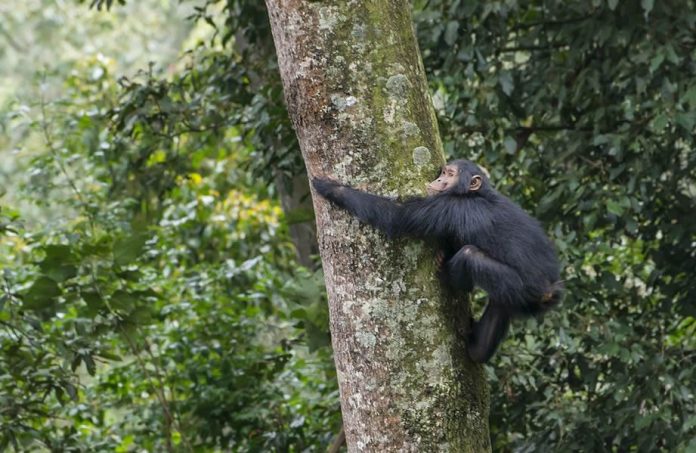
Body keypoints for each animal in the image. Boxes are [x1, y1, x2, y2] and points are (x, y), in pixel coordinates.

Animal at [312, 157, 564, 362]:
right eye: (444, 171)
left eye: (450, 174)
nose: (440, 178)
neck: (475, 193)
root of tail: (550, 291)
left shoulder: (447, 206)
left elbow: (397, 216)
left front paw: (331, 188)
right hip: (514, 297)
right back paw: (476, 347)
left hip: (517, 286)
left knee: (469, 255)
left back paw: (449, 276)